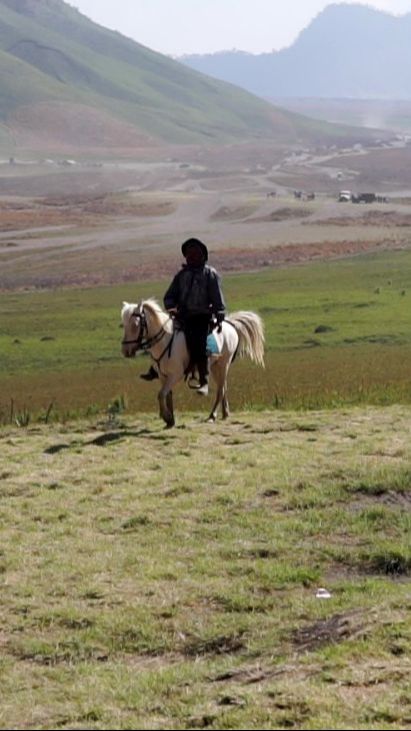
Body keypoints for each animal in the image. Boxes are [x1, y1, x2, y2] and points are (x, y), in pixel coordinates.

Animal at [120, 300, 266, 428]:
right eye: (123, 325)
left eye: (135, 324)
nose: (126, 351)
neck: (165, 341)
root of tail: (230, 324)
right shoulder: (163, 376)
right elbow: (167, 395)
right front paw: (170, 420)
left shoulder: (175, 375)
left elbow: (161, 394)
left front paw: (166, 417)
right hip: (215, 366)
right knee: (223, 386)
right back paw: (225, 413)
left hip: (224, 363)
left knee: (220, 390)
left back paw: (212, 415)